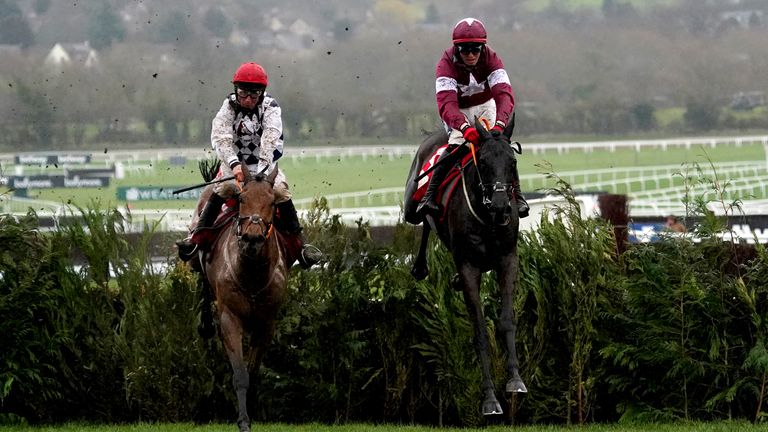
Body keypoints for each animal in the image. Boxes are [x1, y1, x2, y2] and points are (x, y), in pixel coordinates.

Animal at [200, 166, 290, 432]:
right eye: (241, 199)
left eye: (273, 203)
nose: (252, 239)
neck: (252, 274)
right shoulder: (230, 319)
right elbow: (240, 374)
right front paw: (243, 420)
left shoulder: (266, 323)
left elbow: (253, 370)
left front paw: (252, 411)